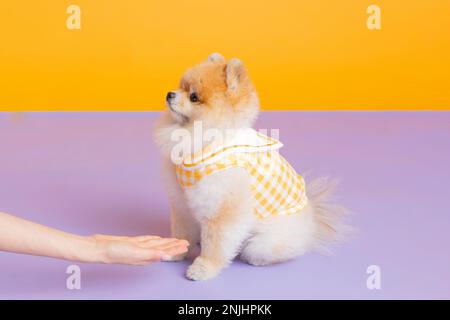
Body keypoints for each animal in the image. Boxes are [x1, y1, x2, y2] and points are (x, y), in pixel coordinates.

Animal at [155, 53, 348, 282]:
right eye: (180, 86)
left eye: (193, 96)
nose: (170, 94)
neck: (201, 140)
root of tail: (312, 219)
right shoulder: (181, 202)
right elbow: (182, 232)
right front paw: (175, 250)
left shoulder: (223, 209)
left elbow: (216, 243)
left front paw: (204, 268)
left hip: (263, 243)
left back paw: (256, 260)